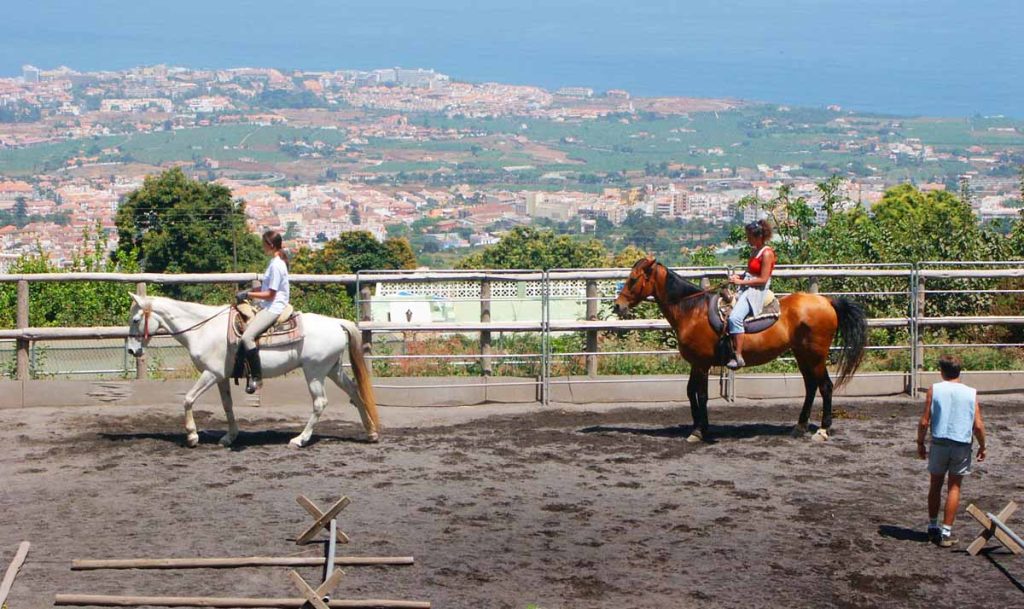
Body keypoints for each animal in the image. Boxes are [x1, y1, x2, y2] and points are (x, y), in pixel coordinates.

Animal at [124, 294, 380, 448]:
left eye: (135, 319)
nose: (131, 350)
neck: (203, 329)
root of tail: (337, 323)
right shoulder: (221, 377)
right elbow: (227, 405)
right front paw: (229, 437)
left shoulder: (210, 374)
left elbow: (188, 399)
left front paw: (192, 436)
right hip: (332, 370)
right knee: (355, 392)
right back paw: (371, 433)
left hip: (315, 372)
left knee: (320, 403)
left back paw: (300, 439)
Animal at [610, 256, 868, 444]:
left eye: (633, 279)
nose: (617, 306)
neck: (692, 310)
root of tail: (827, 301)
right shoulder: (696, 363)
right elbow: (690, 392)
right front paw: (699, 427)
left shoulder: (702, 364)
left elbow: (701, 394)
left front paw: (699, 431)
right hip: (803, 355)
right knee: (811, 386)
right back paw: (799, 426)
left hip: (815, 356)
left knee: (825, 387)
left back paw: (822, 431)